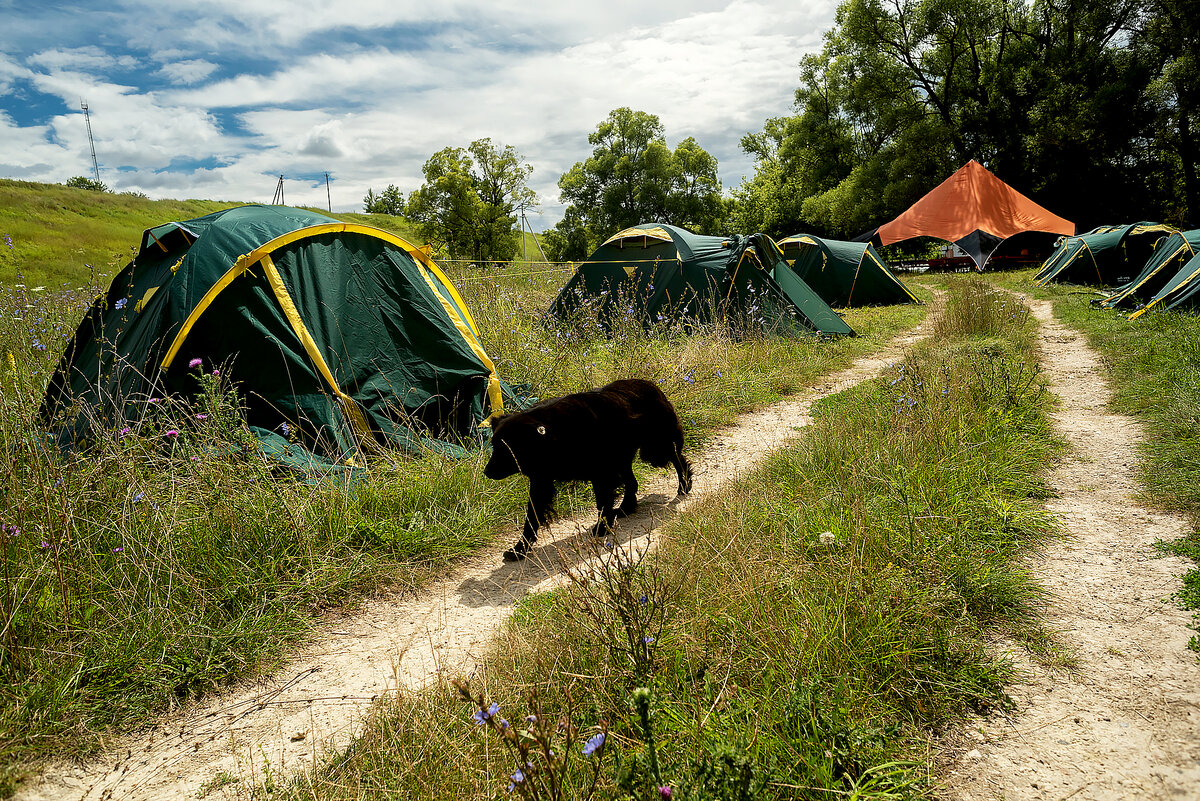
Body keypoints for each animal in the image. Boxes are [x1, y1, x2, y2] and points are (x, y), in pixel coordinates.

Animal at [480, 378, 691, 561]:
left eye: (506, 451)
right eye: (494, 447)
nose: (487, 472)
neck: (554, 435)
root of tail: (651, 385)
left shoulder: (601, 474)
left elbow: (602, 503)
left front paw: (602, 528)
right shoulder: (541, 480)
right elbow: (531, 517)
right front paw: (520, 549)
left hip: (656, 448)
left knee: (677, 459)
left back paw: (684, 485)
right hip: (625, 457)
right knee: (633, 482)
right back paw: (625, 508)